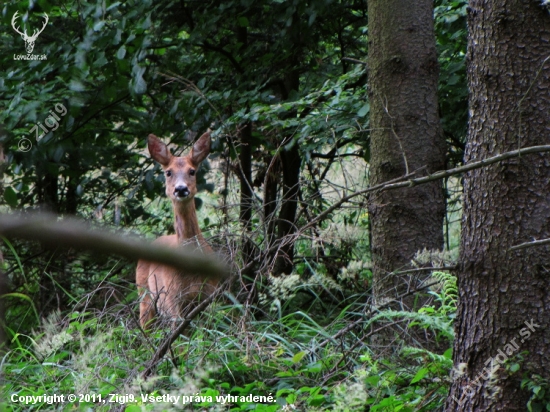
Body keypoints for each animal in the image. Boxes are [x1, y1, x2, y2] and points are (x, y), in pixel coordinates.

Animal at [136, 131, 218, 328]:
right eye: (168, 172)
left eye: (192, 171)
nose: (181, 189)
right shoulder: (173, 299)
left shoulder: (210, 294)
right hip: (144, 294)